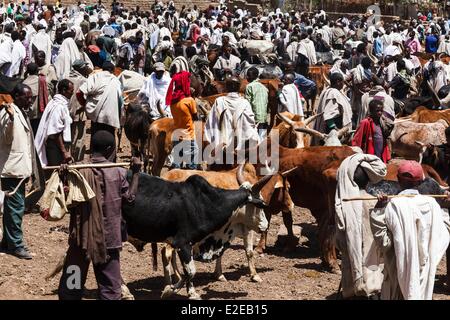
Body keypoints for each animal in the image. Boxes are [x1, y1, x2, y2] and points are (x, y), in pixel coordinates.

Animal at [120, 171, 270, 298]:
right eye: (259, 205)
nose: (265, 225)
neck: (206, 203)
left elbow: (189, 271)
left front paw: (190, 292)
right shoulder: (183, 243)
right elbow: (191, 271)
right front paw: (169, 290)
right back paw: (126, 292)